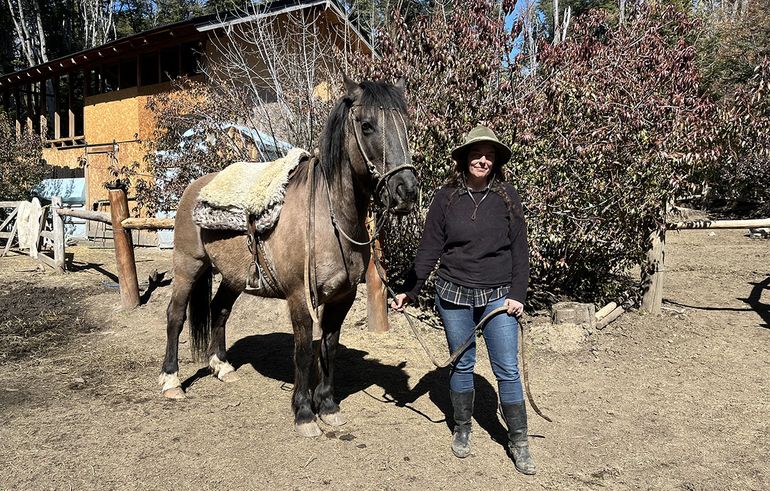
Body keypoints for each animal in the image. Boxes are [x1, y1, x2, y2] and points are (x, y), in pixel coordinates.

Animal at [158, 76, 419, 437]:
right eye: (367, 126)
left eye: (406, 124)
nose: (406, 191)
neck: (330, 217)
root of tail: (194, 188)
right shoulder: (299, 296)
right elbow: (304, 351)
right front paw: (305, 413)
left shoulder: (343, 297)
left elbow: (329, 346)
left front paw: (328, 406)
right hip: (188, 265)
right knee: (175, 316)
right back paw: (171, 381)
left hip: (233, 277)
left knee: (219, 310)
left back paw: (222, 367)